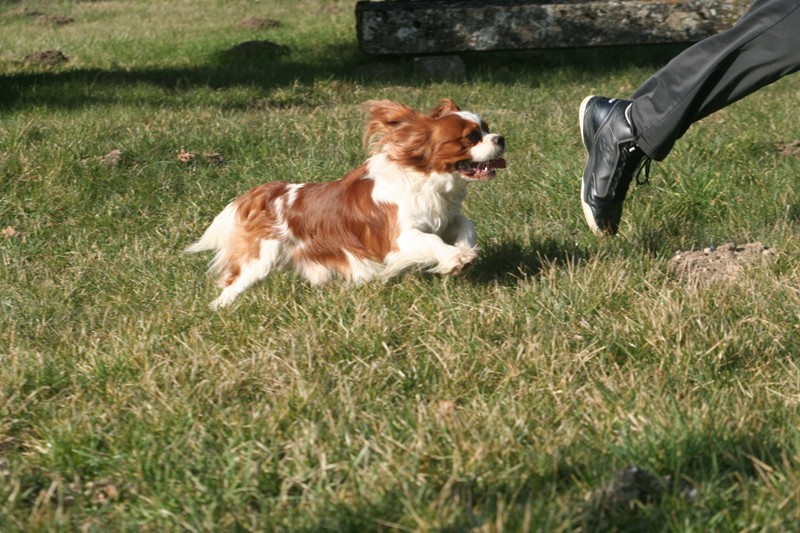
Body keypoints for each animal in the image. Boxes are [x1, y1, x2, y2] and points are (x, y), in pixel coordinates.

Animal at [188, 99, 506, 308]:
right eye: (472, 136)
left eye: (487, 128)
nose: (501, 138)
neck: (426, 179)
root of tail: (268, 192)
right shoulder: (400, 238)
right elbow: (431, 241)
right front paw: (456, 258)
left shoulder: (445, 216)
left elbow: (464, 224)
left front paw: (464, 252)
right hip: (259, 259)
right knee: (232, 283)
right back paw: (221, 308)